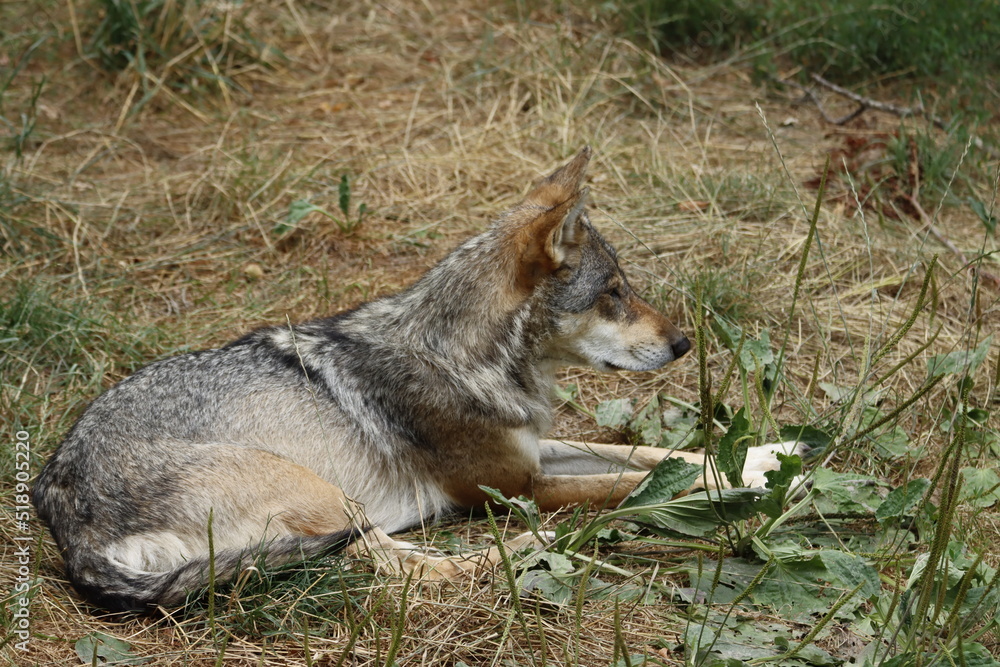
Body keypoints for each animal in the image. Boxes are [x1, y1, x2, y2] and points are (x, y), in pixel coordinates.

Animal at [33, 147, 802, 612]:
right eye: (612, 293)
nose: (683, 343)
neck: (464, 355)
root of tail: (63, 514)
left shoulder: (534, 450)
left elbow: (656, 454)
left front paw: (770, 454)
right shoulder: (516, 486)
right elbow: (636, 482)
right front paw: (756, 481)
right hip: (329, 496)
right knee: (418, 572)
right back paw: (541, 546)